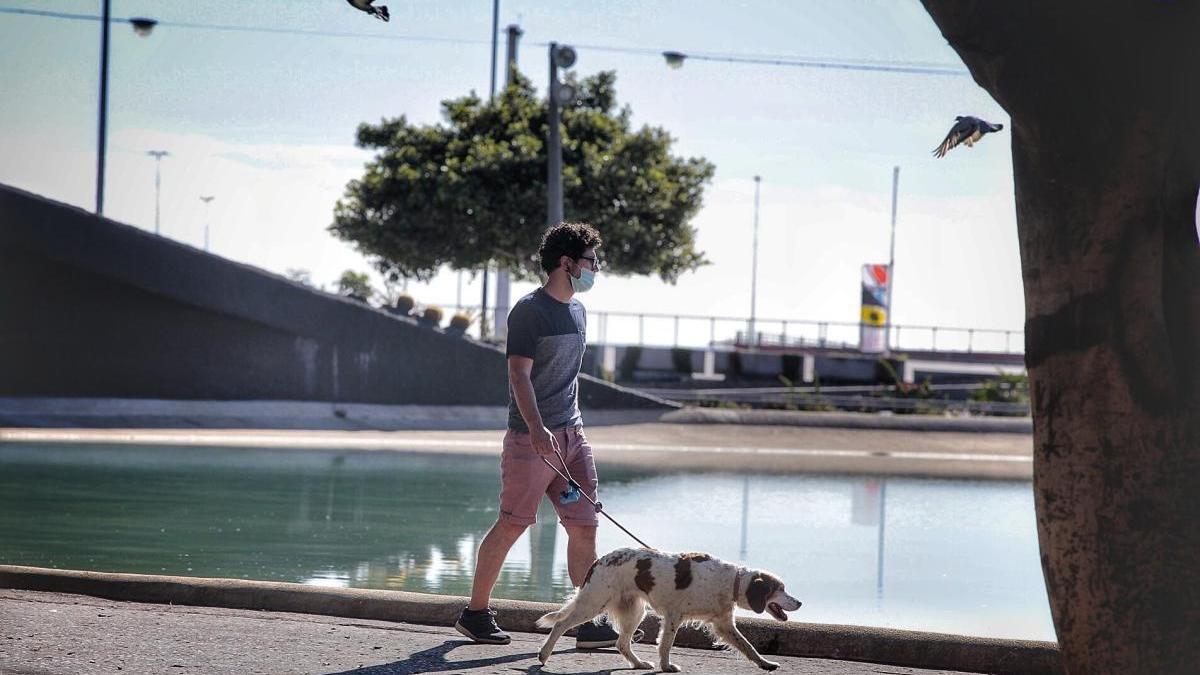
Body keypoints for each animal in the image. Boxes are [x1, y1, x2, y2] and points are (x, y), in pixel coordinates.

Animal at [537, 547, 801, 667]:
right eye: (780, 589)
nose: (799, 602)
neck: (730, 581)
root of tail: (599, 561)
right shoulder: (674, 616)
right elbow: (665, 645)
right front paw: (666, 667)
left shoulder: (724, 624)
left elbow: (748, 647)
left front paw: (766, 665)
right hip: (594, 603)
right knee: (560, 624)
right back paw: (543, 654)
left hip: (635, 611)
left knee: (622, 643)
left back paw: (638, 664)